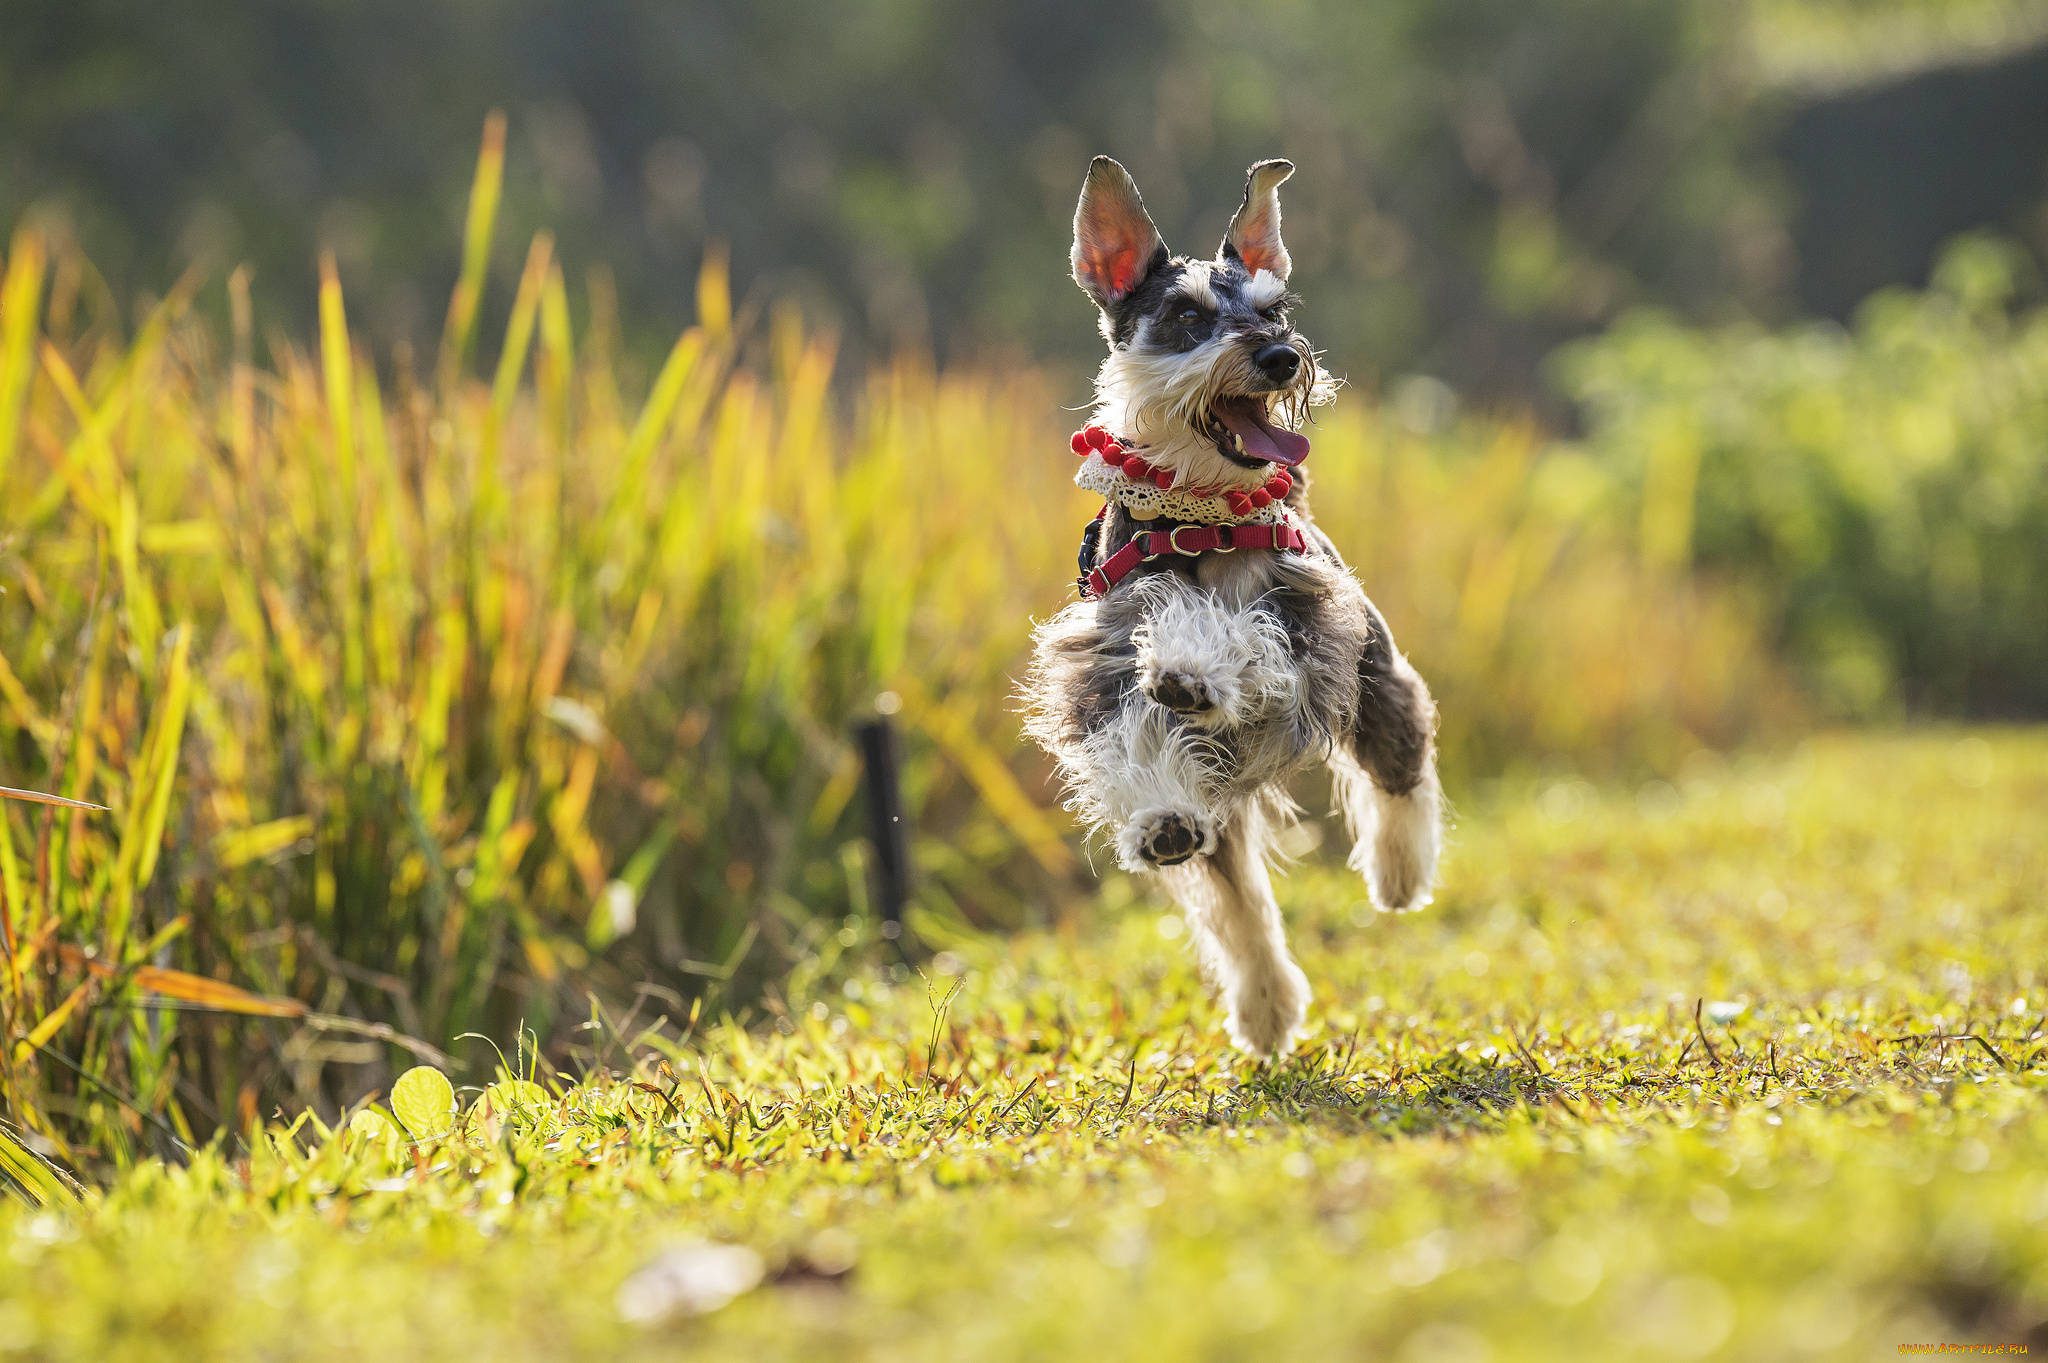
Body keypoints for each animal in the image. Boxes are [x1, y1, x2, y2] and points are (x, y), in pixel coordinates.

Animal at [1024, 156, 1441, 1047]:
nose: (1281, 356)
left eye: (1274, 308)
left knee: (1402, 758)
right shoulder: (1101, 661)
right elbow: (1136, 735)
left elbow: (1246, 642)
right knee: (1238, 904)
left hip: (1375, 673)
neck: (1200, 518)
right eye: (1185, 316)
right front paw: (1158, 814)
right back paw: (1265, 1003)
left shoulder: (1309, 631)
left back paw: (1399, 870)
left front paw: (1196, 667)